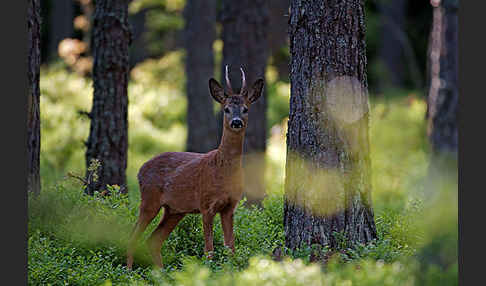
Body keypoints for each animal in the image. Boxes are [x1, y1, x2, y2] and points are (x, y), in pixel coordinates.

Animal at [125, 65, 262, 268]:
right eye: (226, 109)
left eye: (245, 109)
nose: (236, 122)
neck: (223, 170)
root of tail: (140, 170)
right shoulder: (206, 204)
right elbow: (209, 250)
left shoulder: (230, 206)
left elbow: (231, 248)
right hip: (149, 200)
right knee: (133, 236)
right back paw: (128, 270)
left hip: (174, 210)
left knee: (153, 240)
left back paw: (160, 272)